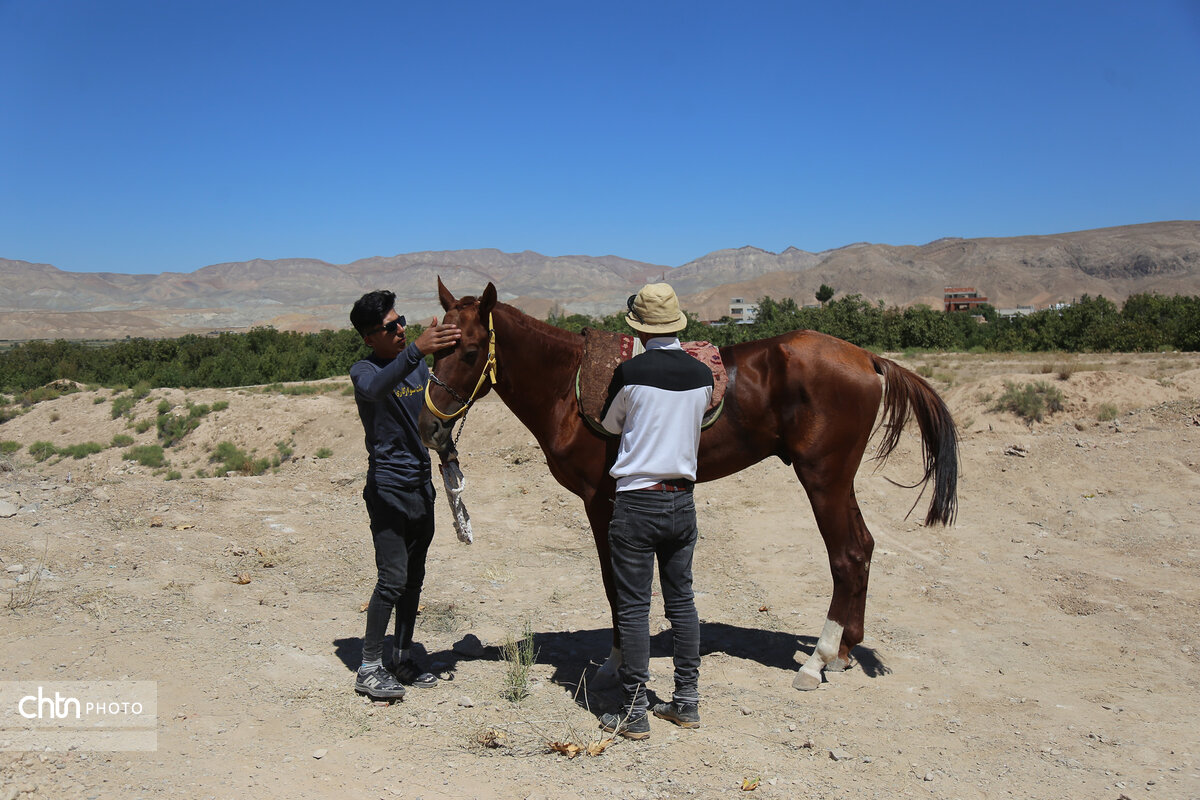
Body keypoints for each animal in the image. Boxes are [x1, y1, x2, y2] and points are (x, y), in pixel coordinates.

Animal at [422, 280, 955, 690]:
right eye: (434, 347)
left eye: (470, 350)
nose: (429, 427)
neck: (566, 387)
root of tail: (865, 357)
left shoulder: (602, 501)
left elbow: (615, 584)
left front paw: (615, 664)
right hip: (840, 481)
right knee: (862, 547)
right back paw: (843, 651)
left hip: (824, 477)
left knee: (845, 555)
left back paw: (817, 660)